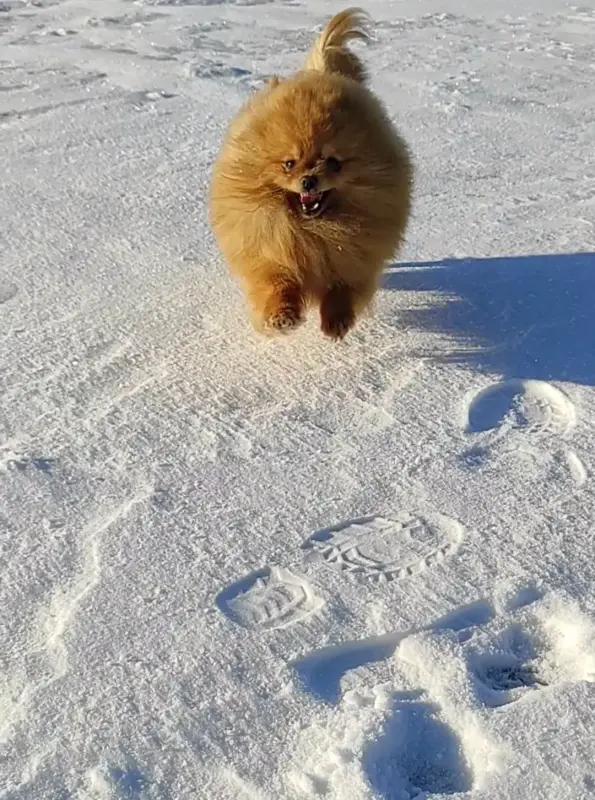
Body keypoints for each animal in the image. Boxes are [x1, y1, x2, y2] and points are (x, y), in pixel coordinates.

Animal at [211, 9, 414, 340]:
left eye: (333, 162)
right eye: (289, 163)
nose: (308, 179)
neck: (313, 232)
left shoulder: (351, 261)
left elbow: (341, 291)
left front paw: (336, 322)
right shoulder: (271, 252)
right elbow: (277, 285)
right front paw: (282, 318)